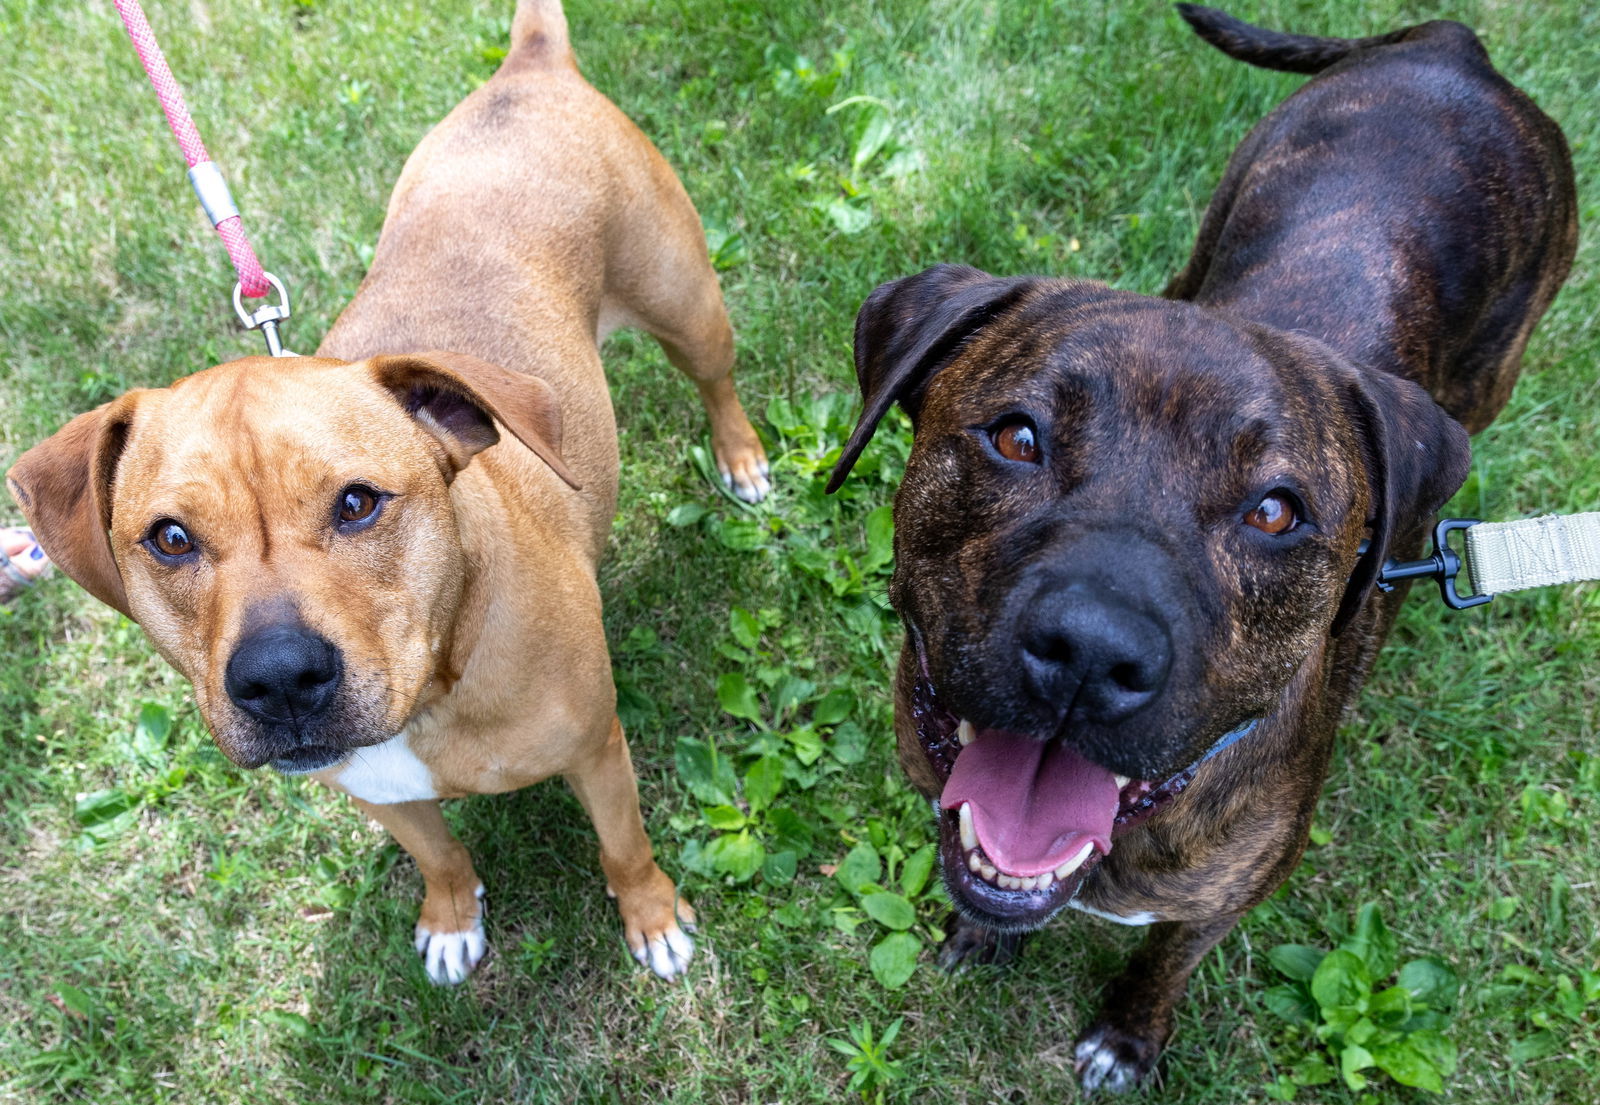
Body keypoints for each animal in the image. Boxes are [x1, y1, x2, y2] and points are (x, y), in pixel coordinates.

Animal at [6, 0, 768, 985]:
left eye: (359, 502)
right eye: (170, 538)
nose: (279, 679)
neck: (439, 677)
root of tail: (529, 67)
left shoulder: (600, 749)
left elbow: (624, 846)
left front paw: (653, 918)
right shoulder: (375, 790)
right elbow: (439, 854)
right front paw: (451, 918)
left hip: (686, 304)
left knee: (716, 380)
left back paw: (742, 460)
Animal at [832, 4, 1580, 1093]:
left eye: (1275, 512)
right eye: (1016, 436)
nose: (1092, 650)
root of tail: (1456, 47)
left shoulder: (1228, 895)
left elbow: (1166, 956)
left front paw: (1128, 1034)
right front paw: (987, 936)